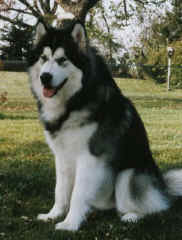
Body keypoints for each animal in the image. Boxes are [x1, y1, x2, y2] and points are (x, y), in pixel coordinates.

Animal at [26, 20, 182, 231]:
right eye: (43, 58)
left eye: (62, 59)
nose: (45, 77)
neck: (75, 101)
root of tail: (163, 187)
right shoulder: (62, 156)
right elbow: (60, 190)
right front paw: (53, 215)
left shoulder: (89, 157)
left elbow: (77, 194)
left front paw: (70, 223)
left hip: (127, 175)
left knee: (154, 207)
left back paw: (132, 216)